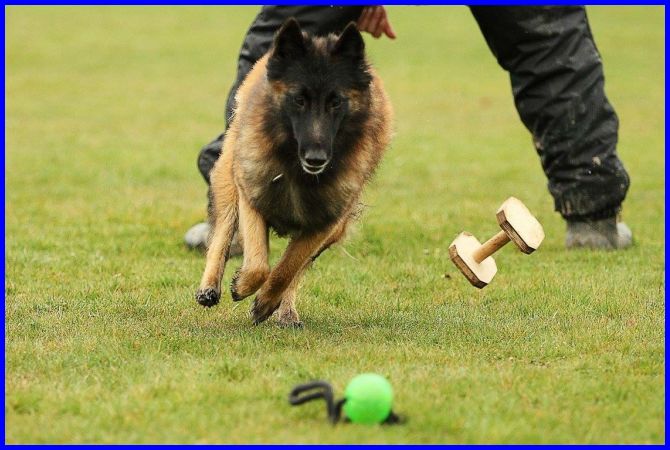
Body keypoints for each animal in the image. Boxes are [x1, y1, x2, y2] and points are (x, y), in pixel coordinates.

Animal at [195, 18, 393, 326]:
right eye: (298, 100)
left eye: (336, 102)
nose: (316, 158)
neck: (295, 169)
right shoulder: (252, 195)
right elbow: (258, 263)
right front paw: (242, 286)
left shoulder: (325, 223)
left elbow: (288, 267)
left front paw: (266, 302)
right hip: (229, 176)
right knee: (222, 230)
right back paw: (209, 287)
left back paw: (285, 310)